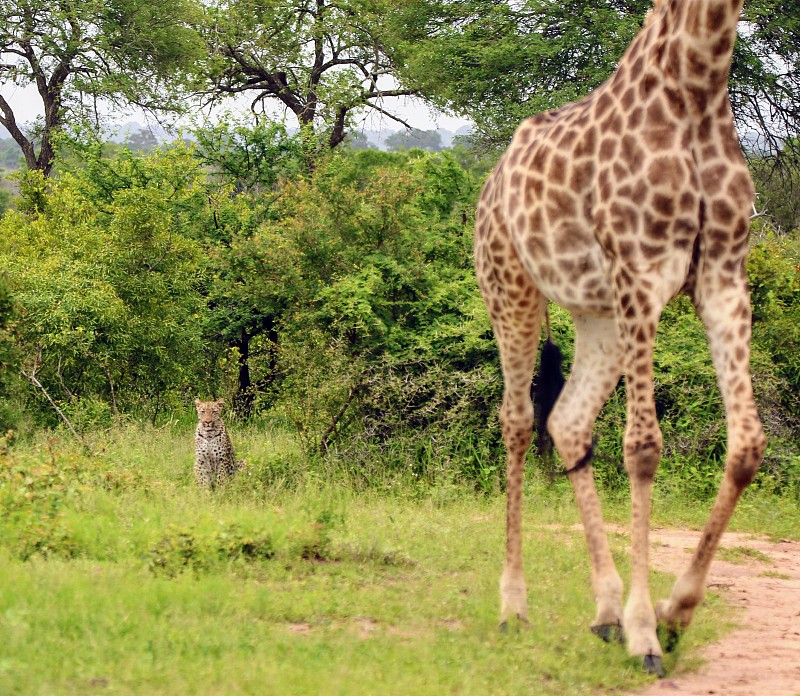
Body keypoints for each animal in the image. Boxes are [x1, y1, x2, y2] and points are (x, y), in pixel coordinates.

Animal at [472, 0, 764, 676]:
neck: (698, 84)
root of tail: (489, 185)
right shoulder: (640, 271)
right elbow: (643, 448)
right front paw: (645, 633)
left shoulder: (723, 277)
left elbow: (747, 446)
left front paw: (675, 613)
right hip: (510, 291)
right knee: (517, 421)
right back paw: (513, 607)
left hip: (596, 315)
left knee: (569, 421)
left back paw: (604, 610)